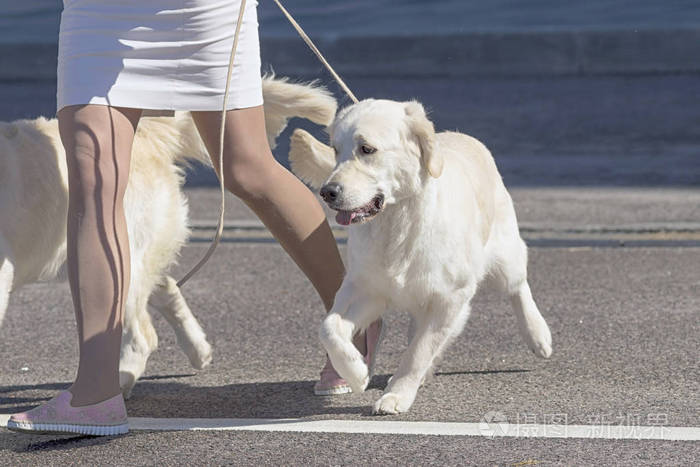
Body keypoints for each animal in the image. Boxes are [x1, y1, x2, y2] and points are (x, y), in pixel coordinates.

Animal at [0, 77, 340, 398]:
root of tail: (144, 134)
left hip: (120, 252)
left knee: (143, 335)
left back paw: (111, 390)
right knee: (167, 286)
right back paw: (197, 350)